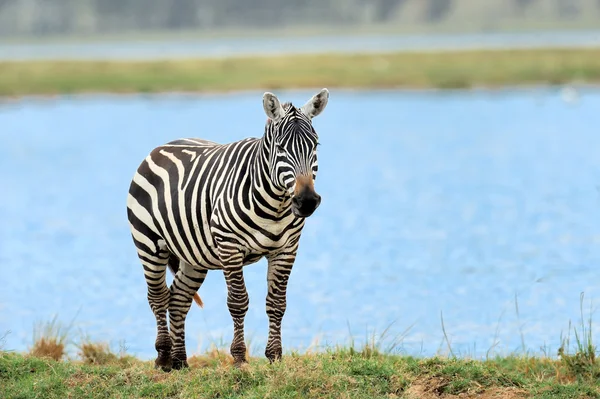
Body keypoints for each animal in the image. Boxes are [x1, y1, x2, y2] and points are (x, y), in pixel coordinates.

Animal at [127, 89, 330, 370]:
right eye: (280, 148)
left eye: (315, 146)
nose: (307, 201)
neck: (275, 205)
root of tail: (163, 146)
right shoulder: (229, 246)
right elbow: (238, 302)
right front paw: (239, 358)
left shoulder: (286, 249)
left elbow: (277, 303)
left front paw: (275, 356)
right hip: (149, 243)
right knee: (157, 296)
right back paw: (163, 357)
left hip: (194, 255)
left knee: (178, 298)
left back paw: (179, 361)